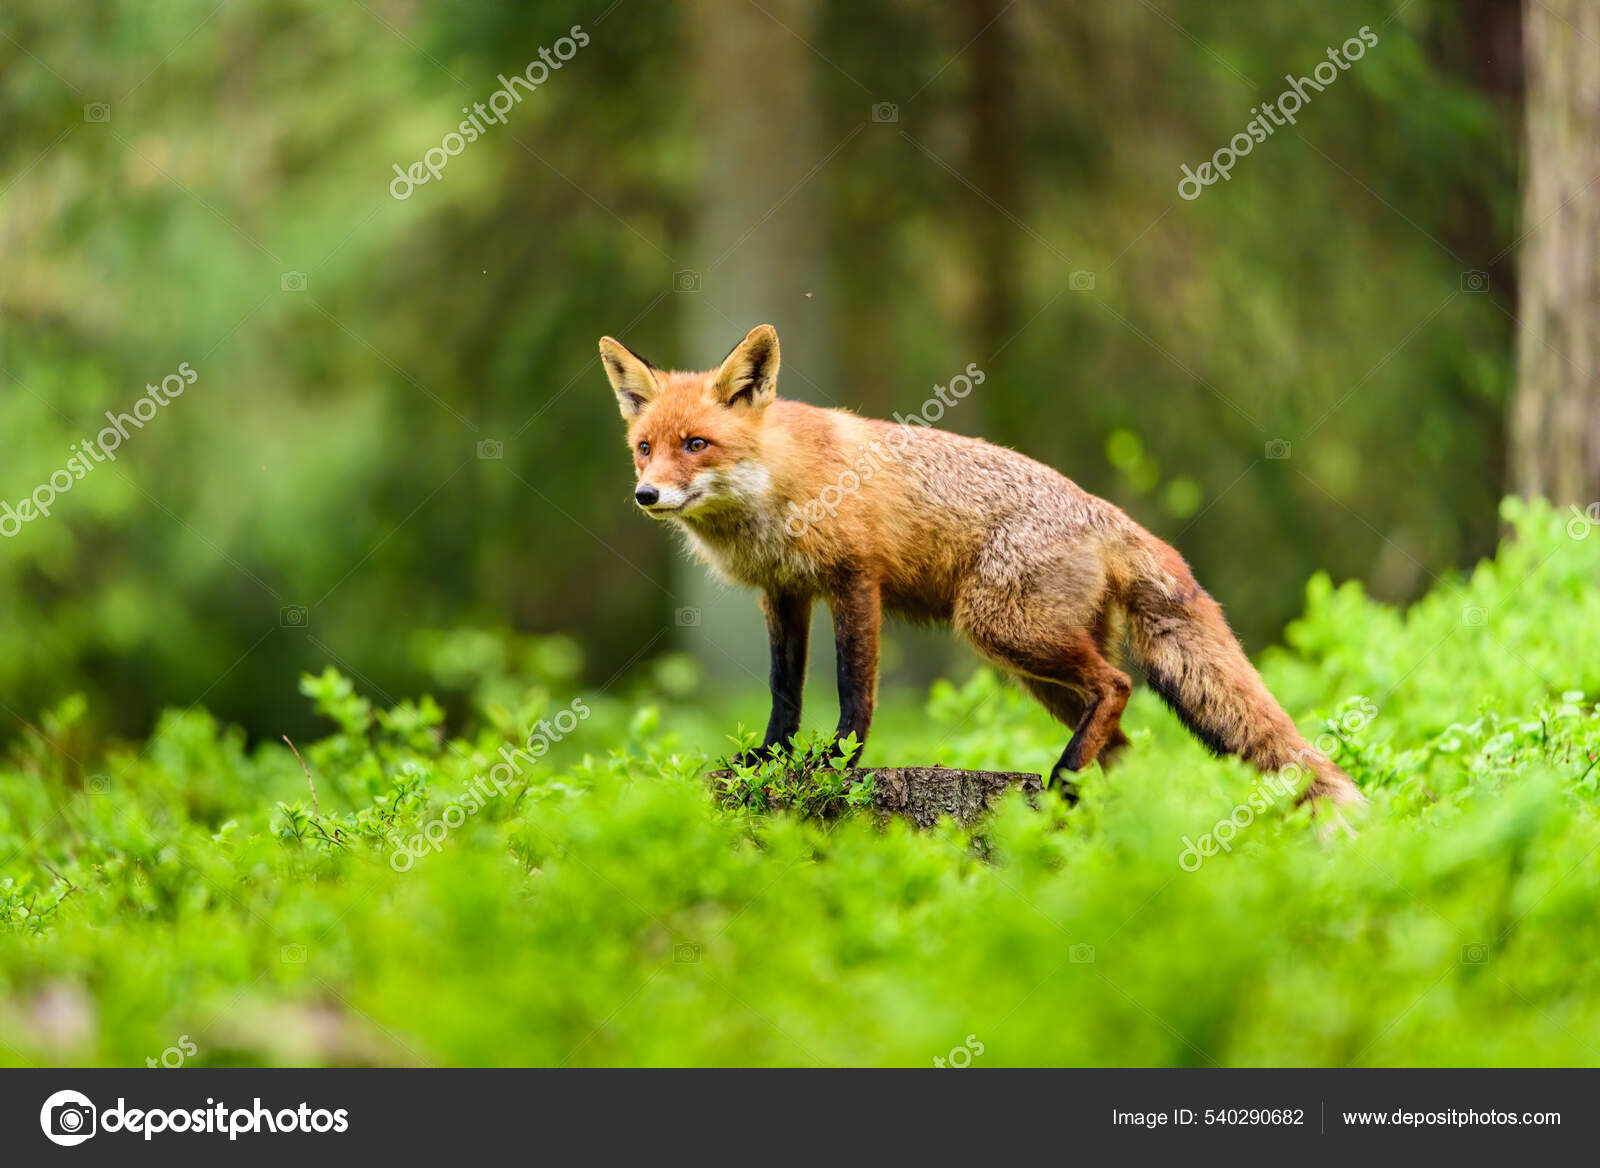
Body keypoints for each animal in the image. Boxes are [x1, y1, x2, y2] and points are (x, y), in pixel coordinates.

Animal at [598, 323, 1363, 810]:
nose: (645, 495)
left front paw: (836, 765)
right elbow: (783, 692)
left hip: (1000, 630)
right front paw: (768, 762)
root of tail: (1105, 512)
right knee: (1123, 741)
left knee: (1118, 687)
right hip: (1036, 670)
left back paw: (1062, 780)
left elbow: (853, 692)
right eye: (644, 448)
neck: (777, 489)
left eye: (697, 444)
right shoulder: (782, 593)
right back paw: (1095, 801)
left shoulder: (855, 580)